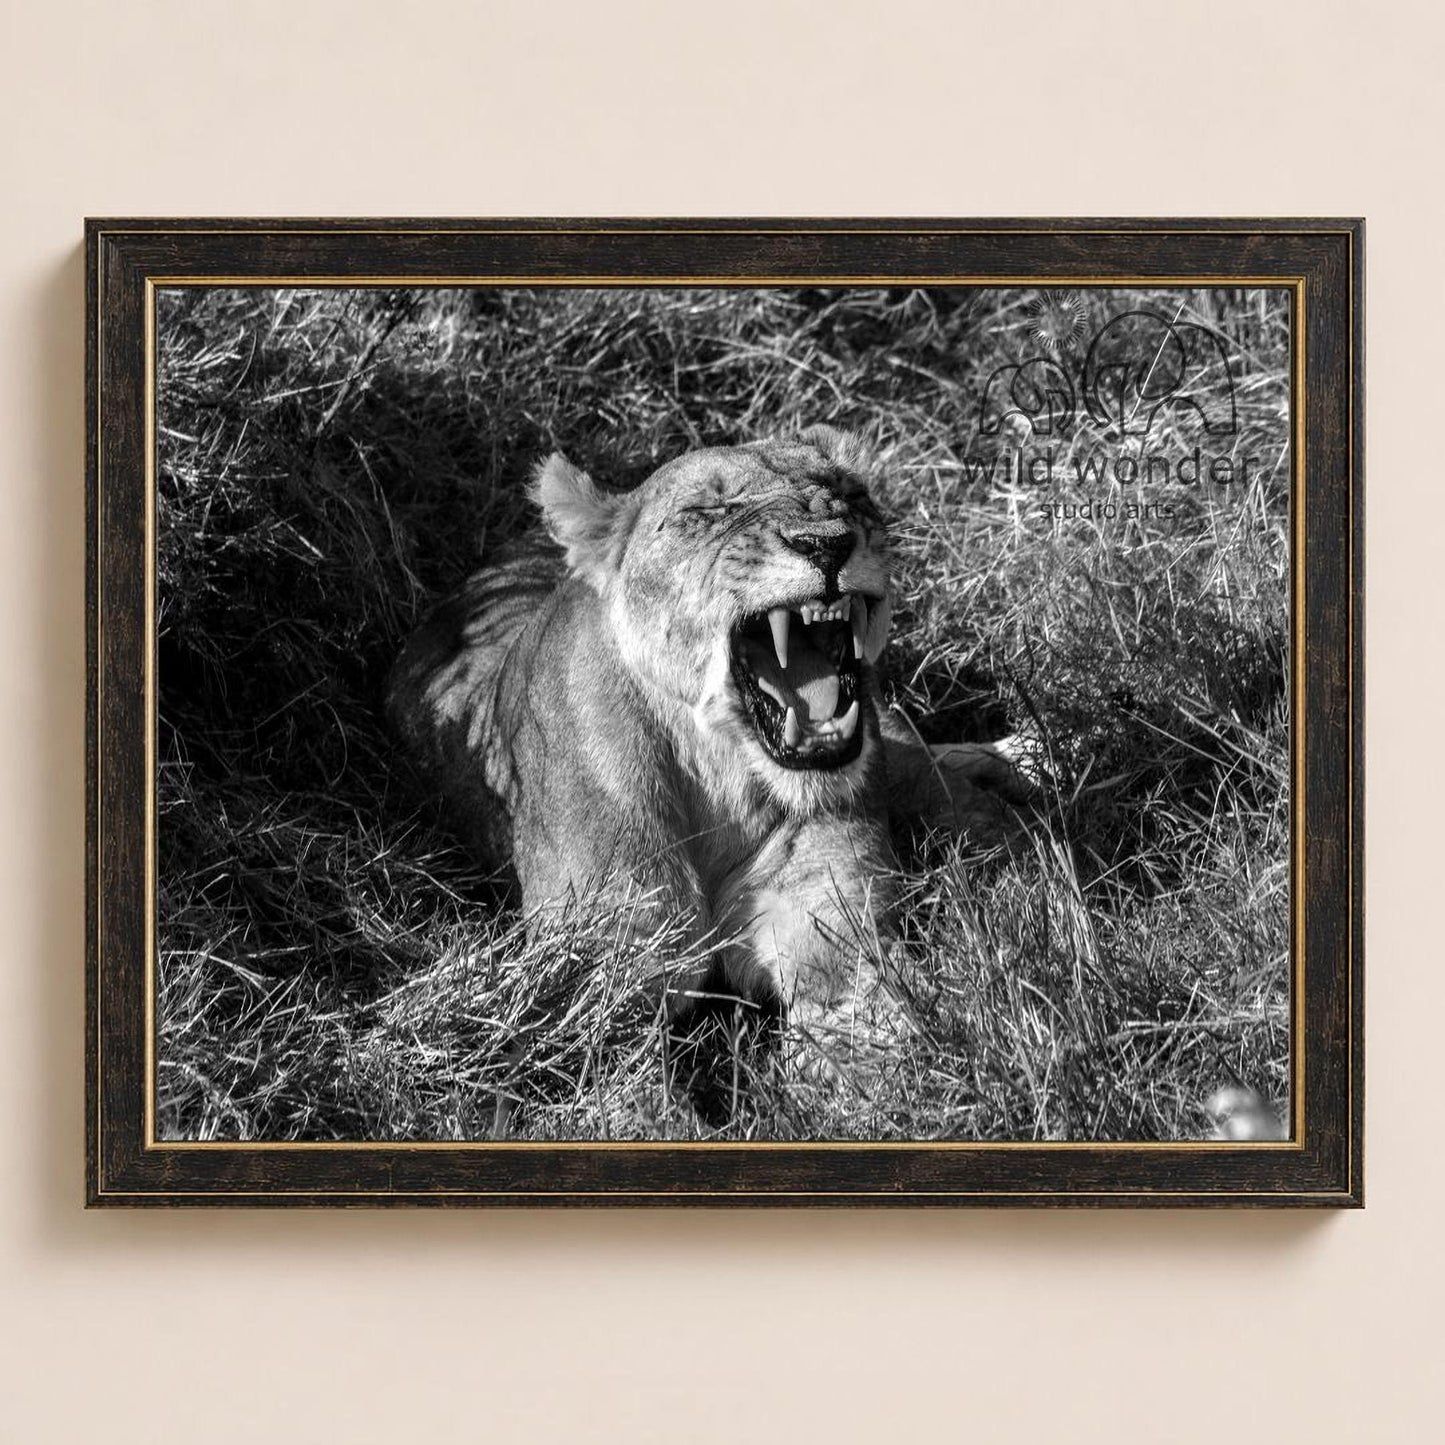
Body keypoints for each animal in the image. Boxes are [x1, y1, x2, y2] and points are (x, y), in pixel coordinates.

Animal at [388, 428, 1020, 1065]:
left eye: (848, 492)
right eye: (707, 509)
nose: (827, 543)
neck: (720, 775)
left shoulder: (831, 926)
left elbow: (873, 1049)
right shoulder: (604, 969)